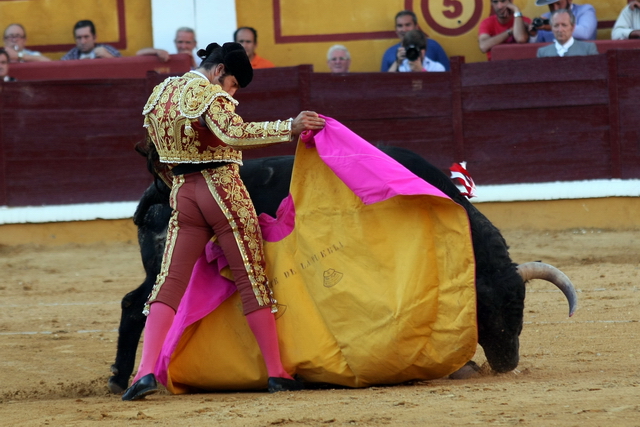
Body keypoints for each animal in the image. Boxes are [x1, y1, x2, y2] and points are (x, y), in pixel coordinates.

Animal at [107, 145, 576, 392]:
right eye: (487, 310)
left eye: (521, 308)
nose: (508, 363)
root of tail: (159, 188)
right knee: (139, 306)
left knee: (136, 304)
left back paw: (124, 379)